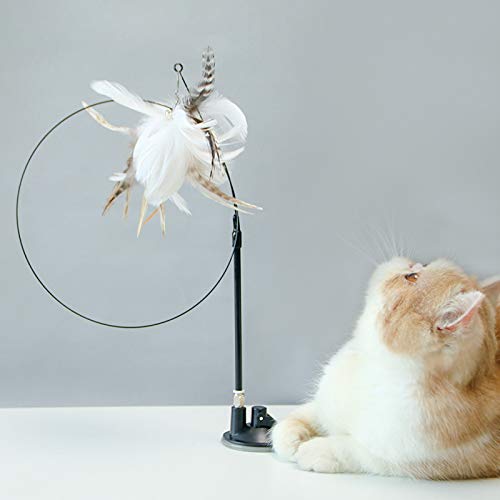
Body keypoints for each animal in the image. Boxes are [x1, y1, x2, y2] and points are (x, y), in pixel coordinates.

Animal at [274, 260, 500, 478]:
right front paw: (289, 436)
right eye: (415, 272)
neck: (372, 366)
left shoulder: (429, 459)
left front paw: (317, 449)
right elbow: (304, 414)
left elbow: (362, 453)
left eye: (412, 277)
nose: (413, 264)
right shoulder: (326, 404)